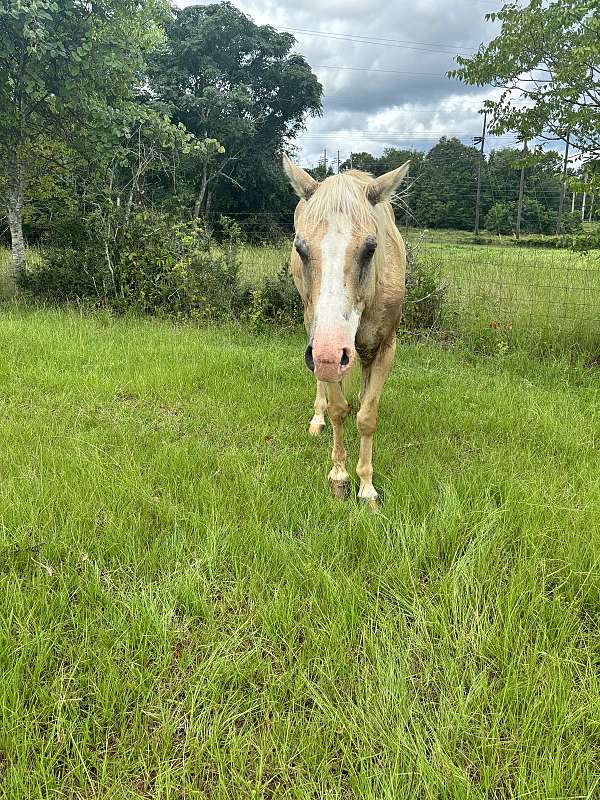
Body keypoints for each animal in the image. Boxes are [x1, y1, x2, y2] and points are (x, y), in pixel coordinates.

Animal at [284, 153, 410, 510]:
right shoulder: (326, 348)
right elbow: (339, 409)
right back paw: (317, 419)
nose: (328, 355)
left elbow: (367, 416)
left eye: (370, 248)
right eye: (301, 248)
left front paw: (367, 488)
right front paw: (339, 477)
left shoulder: (384, 348)